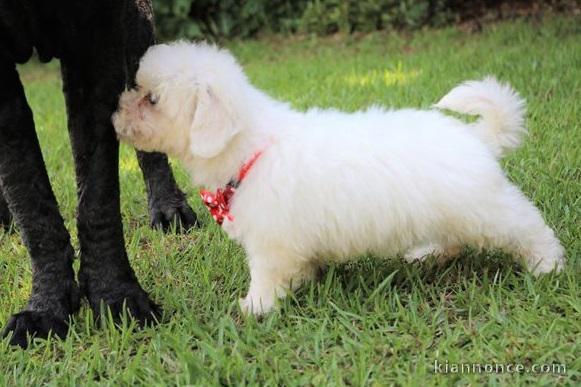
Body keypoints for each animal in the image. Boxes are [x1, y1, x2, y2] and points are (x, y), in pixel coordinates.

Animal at [0, 0, 197, 348]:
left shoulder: (98, 33)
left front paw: (117, 295)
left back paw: (168, 207)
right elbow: (25, 187)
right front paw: (45, 307)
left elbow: (98, 192)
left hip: (137, 30)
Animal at [112, 41, 560, 316]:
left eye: (152, 99)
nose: (115, 112)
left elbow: (265, 277)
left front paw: (254, 307)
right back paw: (428, 253)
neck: (251, 147)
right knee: (452, 239)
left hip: (487, 209)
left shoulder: (270, 244)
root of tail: (475, 136)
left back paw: (548, 265)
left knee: (529, 227)